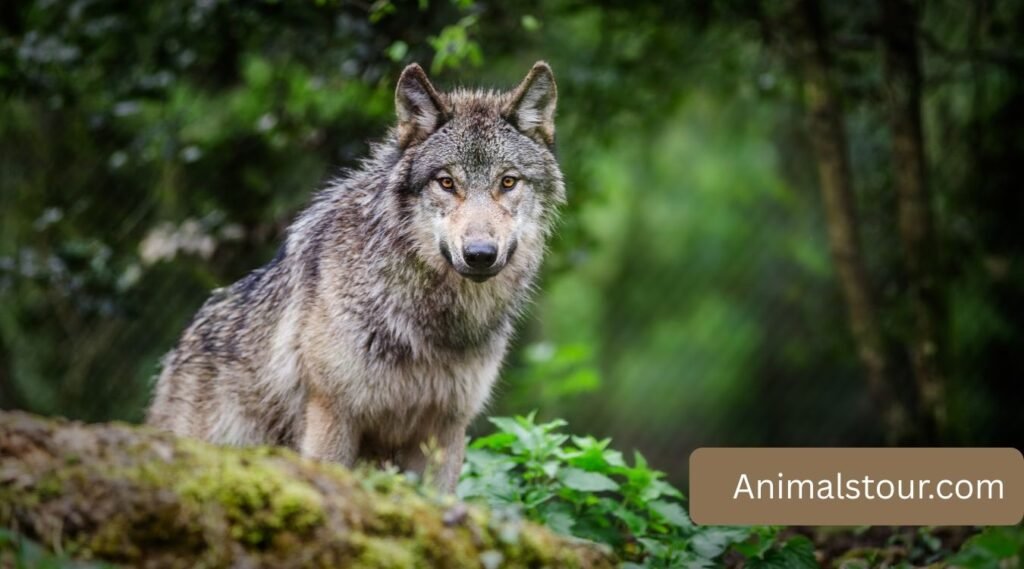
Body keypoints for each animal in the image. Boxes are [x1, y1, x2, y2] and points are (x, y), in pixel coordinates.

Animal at [146, 61, 564, 492]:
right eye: (447, 182)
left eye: (508, 182)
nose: (480, 255)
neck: (429, 323)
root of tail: (180, 348)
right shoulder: (332, 415)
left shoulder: (445, 429)